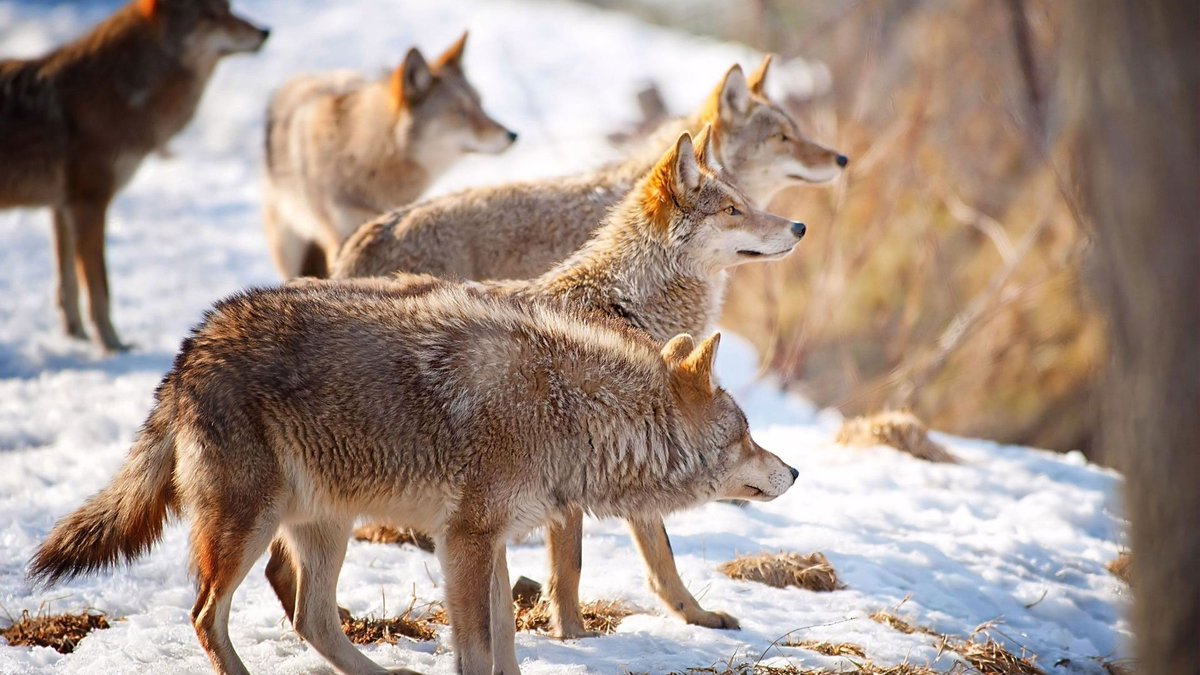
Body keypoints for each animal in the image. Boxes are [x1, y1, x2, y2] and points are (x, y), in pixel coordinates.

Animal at [0, 0, 268, 352]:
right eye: (211, 16)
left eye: (229, 9)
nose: (264, 31)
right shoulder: (88, 202)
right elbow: (99, 287)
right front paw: (112, 345)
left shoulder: (62, 207)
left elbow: (68, 284)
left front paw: (76, 338)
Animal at [29, 281, 796, 675]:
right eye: (746, 433)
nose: (792, 468)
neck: (566, 408)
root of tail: (189, 350)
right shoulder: (465, 542)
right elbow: (479, 651)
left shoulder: (486, 543)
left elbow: (505, 645)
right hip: (250, 527)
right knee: (206, 617)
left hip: (325, 527)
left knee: (311, 619)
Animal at [275, 129, 804, 640]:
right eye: (733, 210)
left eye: (746, 200)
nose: (799, 227)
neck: (621, 307)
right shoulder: (579, 477)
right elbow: (572, 568)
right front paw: (573, 635)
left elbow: (662, 560)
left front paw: (698, 617)